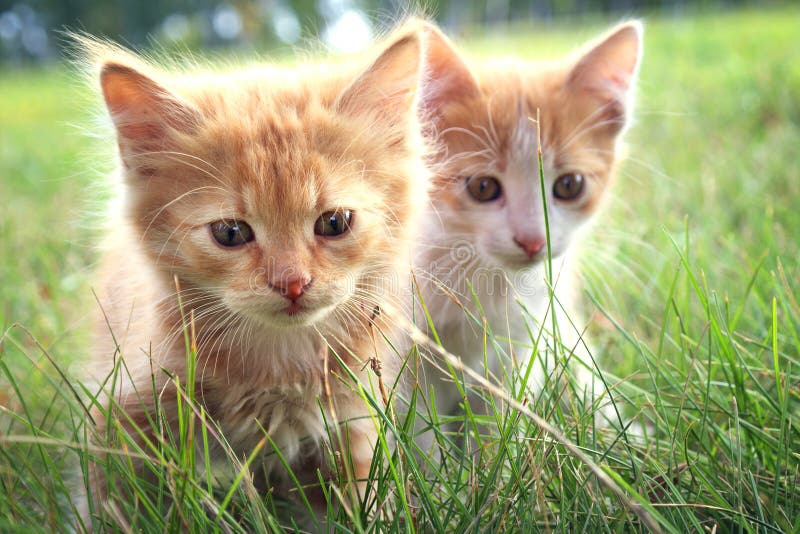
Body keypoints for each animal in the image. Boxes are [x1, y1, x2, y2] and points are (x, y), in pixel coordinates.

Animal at [80, 26, 428, 524]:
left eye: (334, 223)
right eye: (230, 232)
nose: (292, 283)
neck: (279, 362)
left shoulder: (353, 418)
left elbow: (361, 500)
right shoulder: (121, 412)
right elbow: (114, 502)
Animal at [416, 22, 640, 428]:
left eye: (570, 185)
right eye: (483, 187)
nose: (533, 239)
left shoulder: (521, 344)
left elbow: (500, 418)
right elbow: (418, 422)